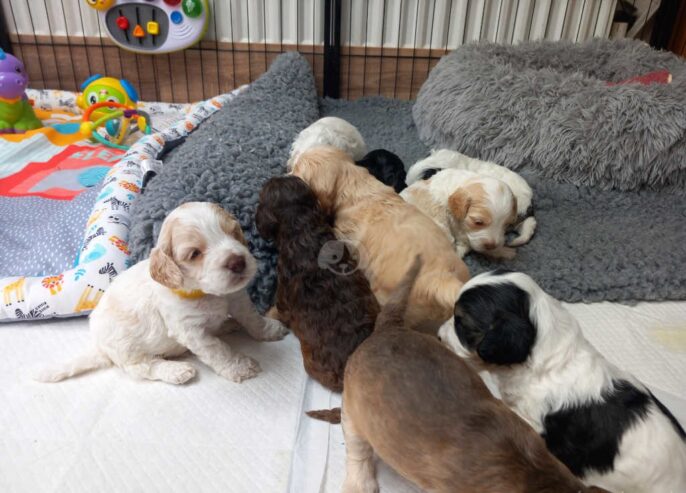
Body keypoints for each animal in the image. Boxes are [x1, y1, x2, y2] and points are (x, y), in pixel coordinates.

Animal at [36, 201, 288, 384]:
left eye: (234, 233)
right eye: (195, 254)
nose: (237, 262)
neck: (205, 294)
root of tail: (101, 348)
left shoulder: (237, 299)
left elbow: (253, 319)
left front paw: (270, 329)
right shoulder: (190, 331)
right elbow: (218, 350)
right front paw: (240, 367)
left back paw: (226, 324)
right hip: (127, 351)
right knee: (143, 367)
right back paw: (175, 371)